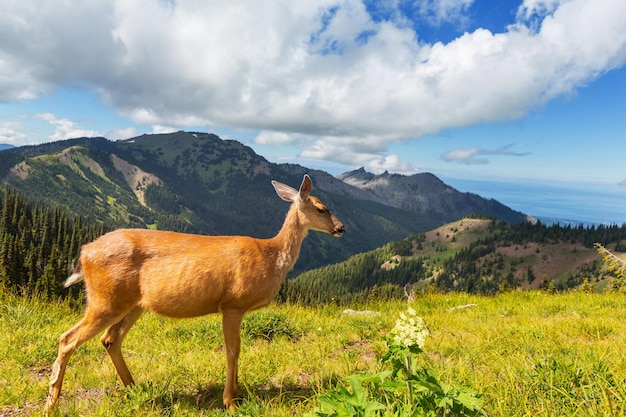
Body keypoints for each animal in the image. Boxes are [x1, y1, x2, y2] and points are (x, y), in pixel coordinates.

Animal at [44, 174, 344, 412]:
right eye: (321, 208)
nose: (341, 228)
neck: (270, 257)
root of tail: (84, 254)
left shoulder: (236, 308)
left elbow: (237, 350)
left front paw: (238, 393)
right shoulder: (233, 304)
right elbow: (232, 351)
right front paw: (230, 401)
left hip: (132, 304)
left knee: (110, 340)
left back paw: (136, 389)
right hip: (105, 299)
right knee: (67, 339)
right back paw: (51, 404)